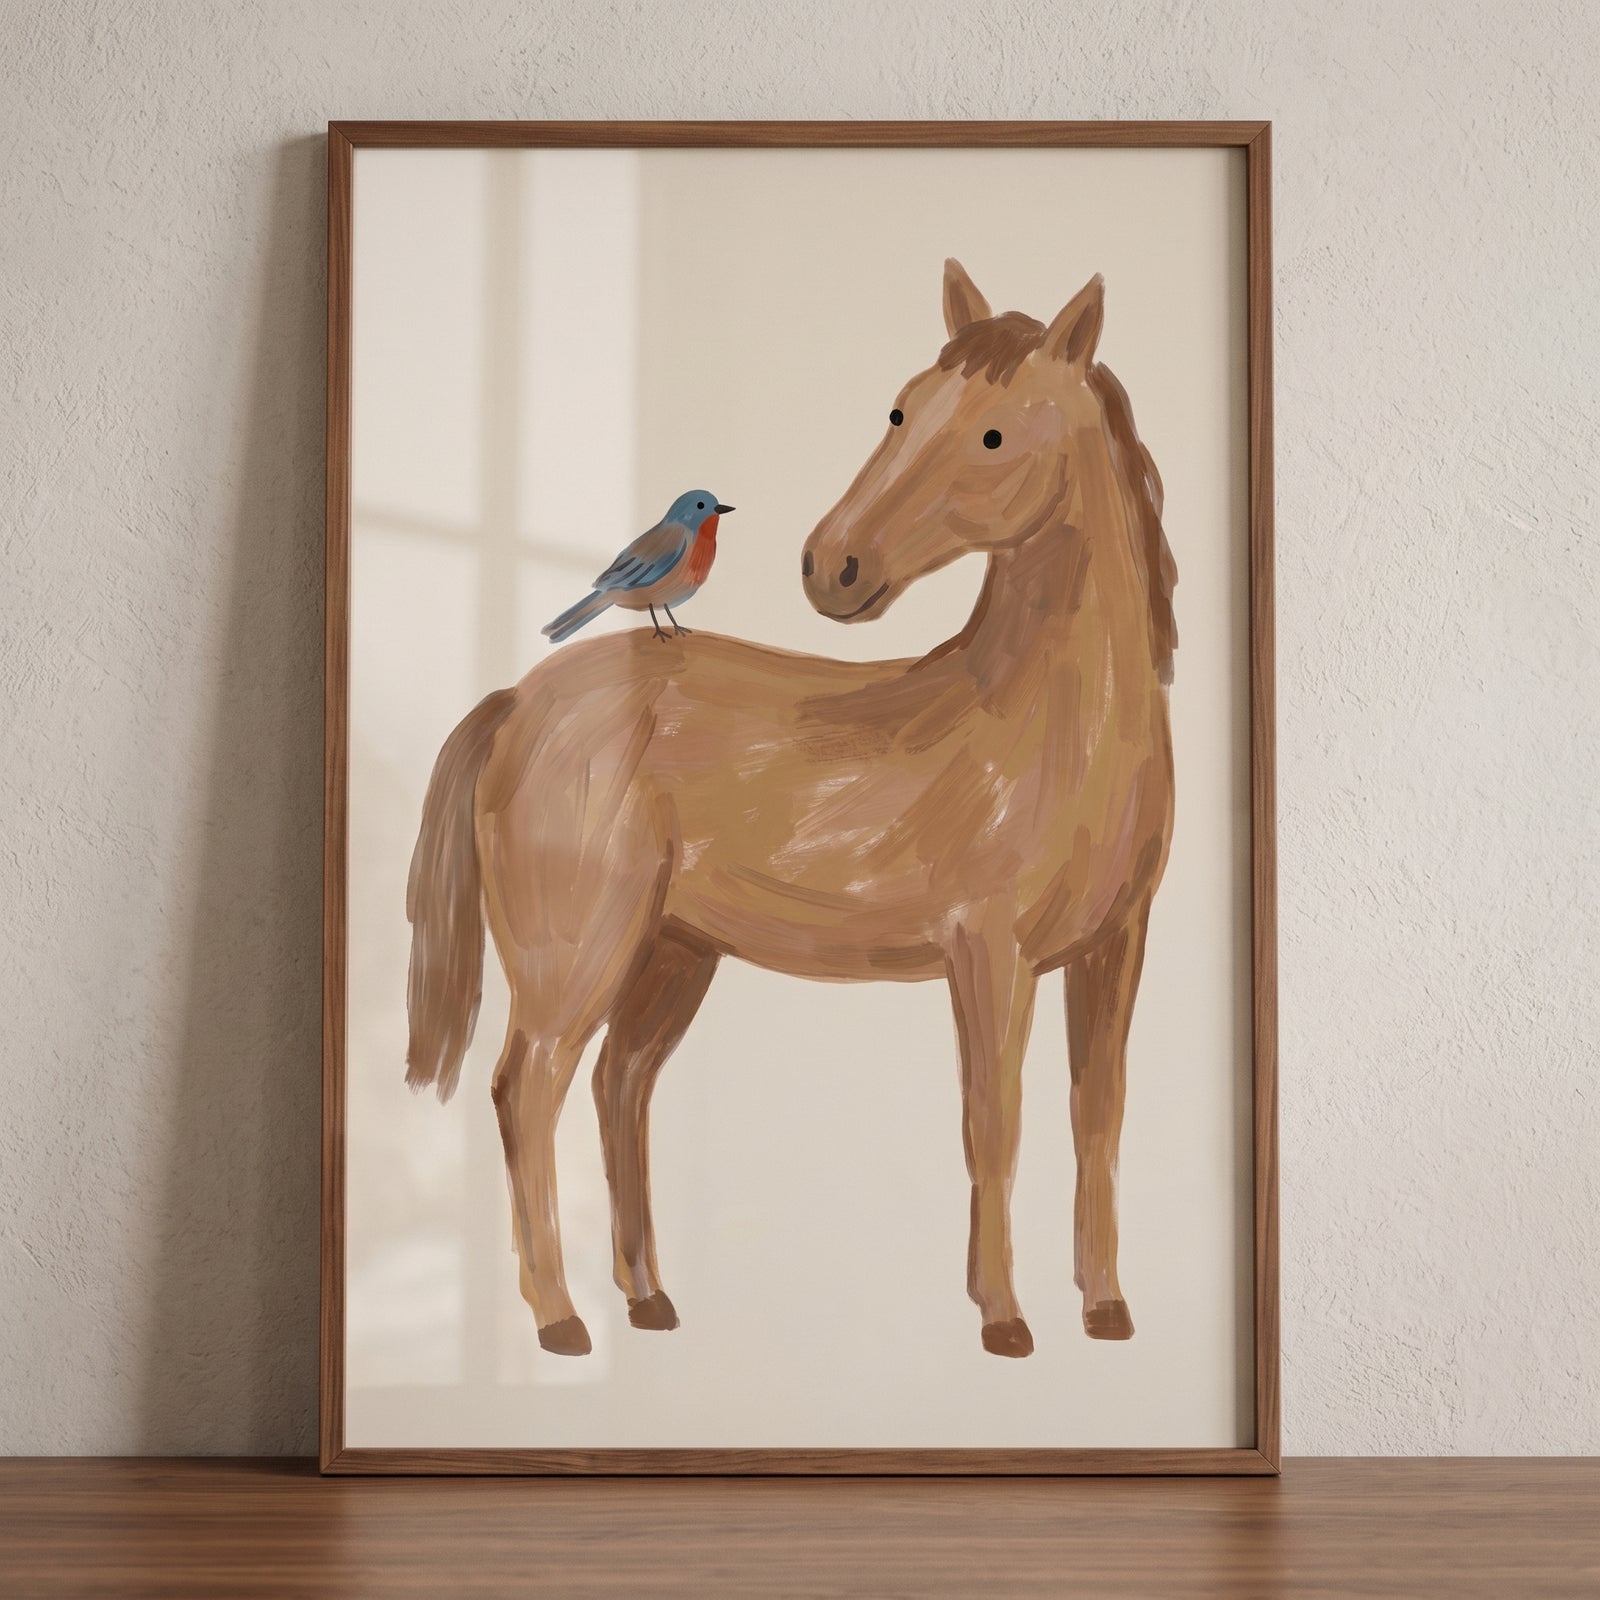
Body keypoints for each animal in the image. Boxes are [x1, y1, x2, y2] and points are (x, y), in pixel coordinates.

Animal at [404, 259, 1177, 1359]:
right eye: (900, 408)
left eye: (993, 435)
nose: (831, 567)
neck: (1051, 725)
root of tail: (516, 699)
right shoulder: (990, 952)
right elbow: (994, 1124)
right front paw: (1005, 1320)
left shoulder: (1115, 948)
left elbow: (1096, 1119)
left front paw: (1107, 1311)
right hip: (577, 959)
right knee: (529, 1089)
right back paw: (561, 1322)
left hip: (672, 952)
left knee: (618, 1088)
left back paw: (648, 1301)